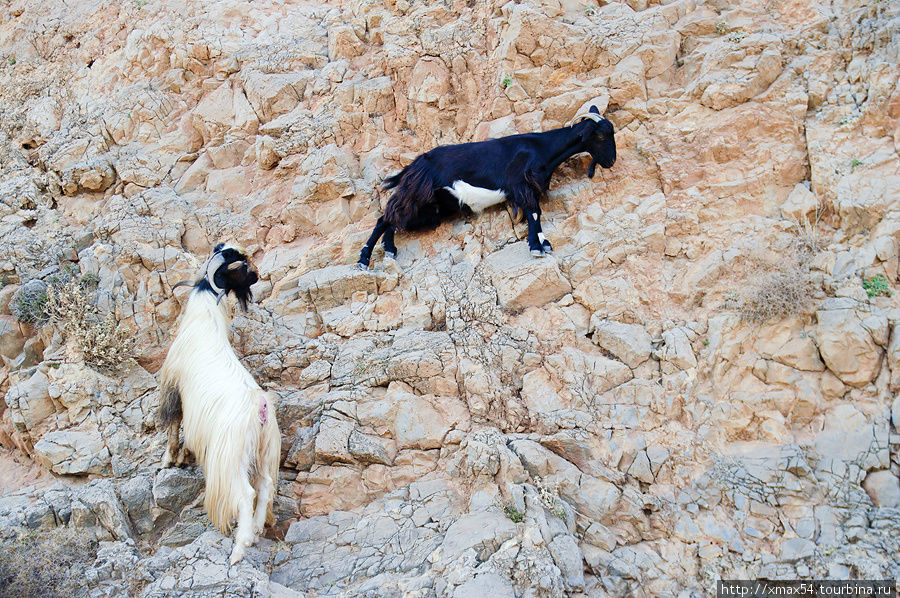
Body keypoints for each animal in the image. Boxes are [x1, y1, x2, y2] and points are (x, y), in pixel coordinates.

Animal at [156, 244, 280, 568]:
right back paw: (258, 529)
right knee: (265, 486)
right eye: (243, 266)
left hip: (231, 457)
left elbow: (173, 424)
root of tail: (260, 407)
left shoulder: (173, 387)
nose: (258, 276)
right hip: (263, 451)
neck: (204, 319)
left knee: (246, 493)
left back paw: (240, 546)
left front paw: (169, 458)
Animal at [356, 106, 616, 270]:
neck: (541, 148)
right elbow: (534, 213)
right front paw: (538, 247)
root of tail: (414, 165)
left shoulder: (528, 188)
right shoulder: (521, 185)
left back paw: (390, 249)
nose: (612, 161)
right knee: (384, 218)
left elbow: (535, 213)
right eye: (601, 135)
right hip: (416, 193)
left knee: (395, 219)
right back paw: (363, 259)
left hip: (428, 211)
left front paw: (542, 244)